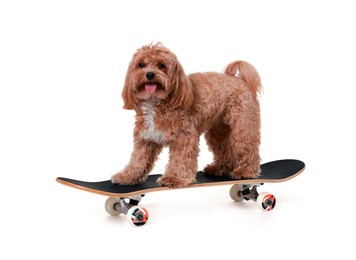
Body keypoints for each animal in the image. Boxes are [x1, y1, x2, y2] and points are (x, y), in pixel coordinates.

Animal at [111, 43, 262, 188]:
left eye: (161, 65)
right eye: (141, 64)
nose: (149, 74)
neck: (156, 103)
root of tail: (236, 79)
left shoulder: (184, 136)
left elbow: (180, 158)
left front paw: (174, 178)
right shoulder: (146, 138)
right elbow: (137, 159)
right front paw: (127, 176)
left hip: (243, 126)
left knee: (248, 146)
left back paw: (245, 171)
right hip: (218, 130)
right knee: (225, 149)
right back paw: (218, 168)